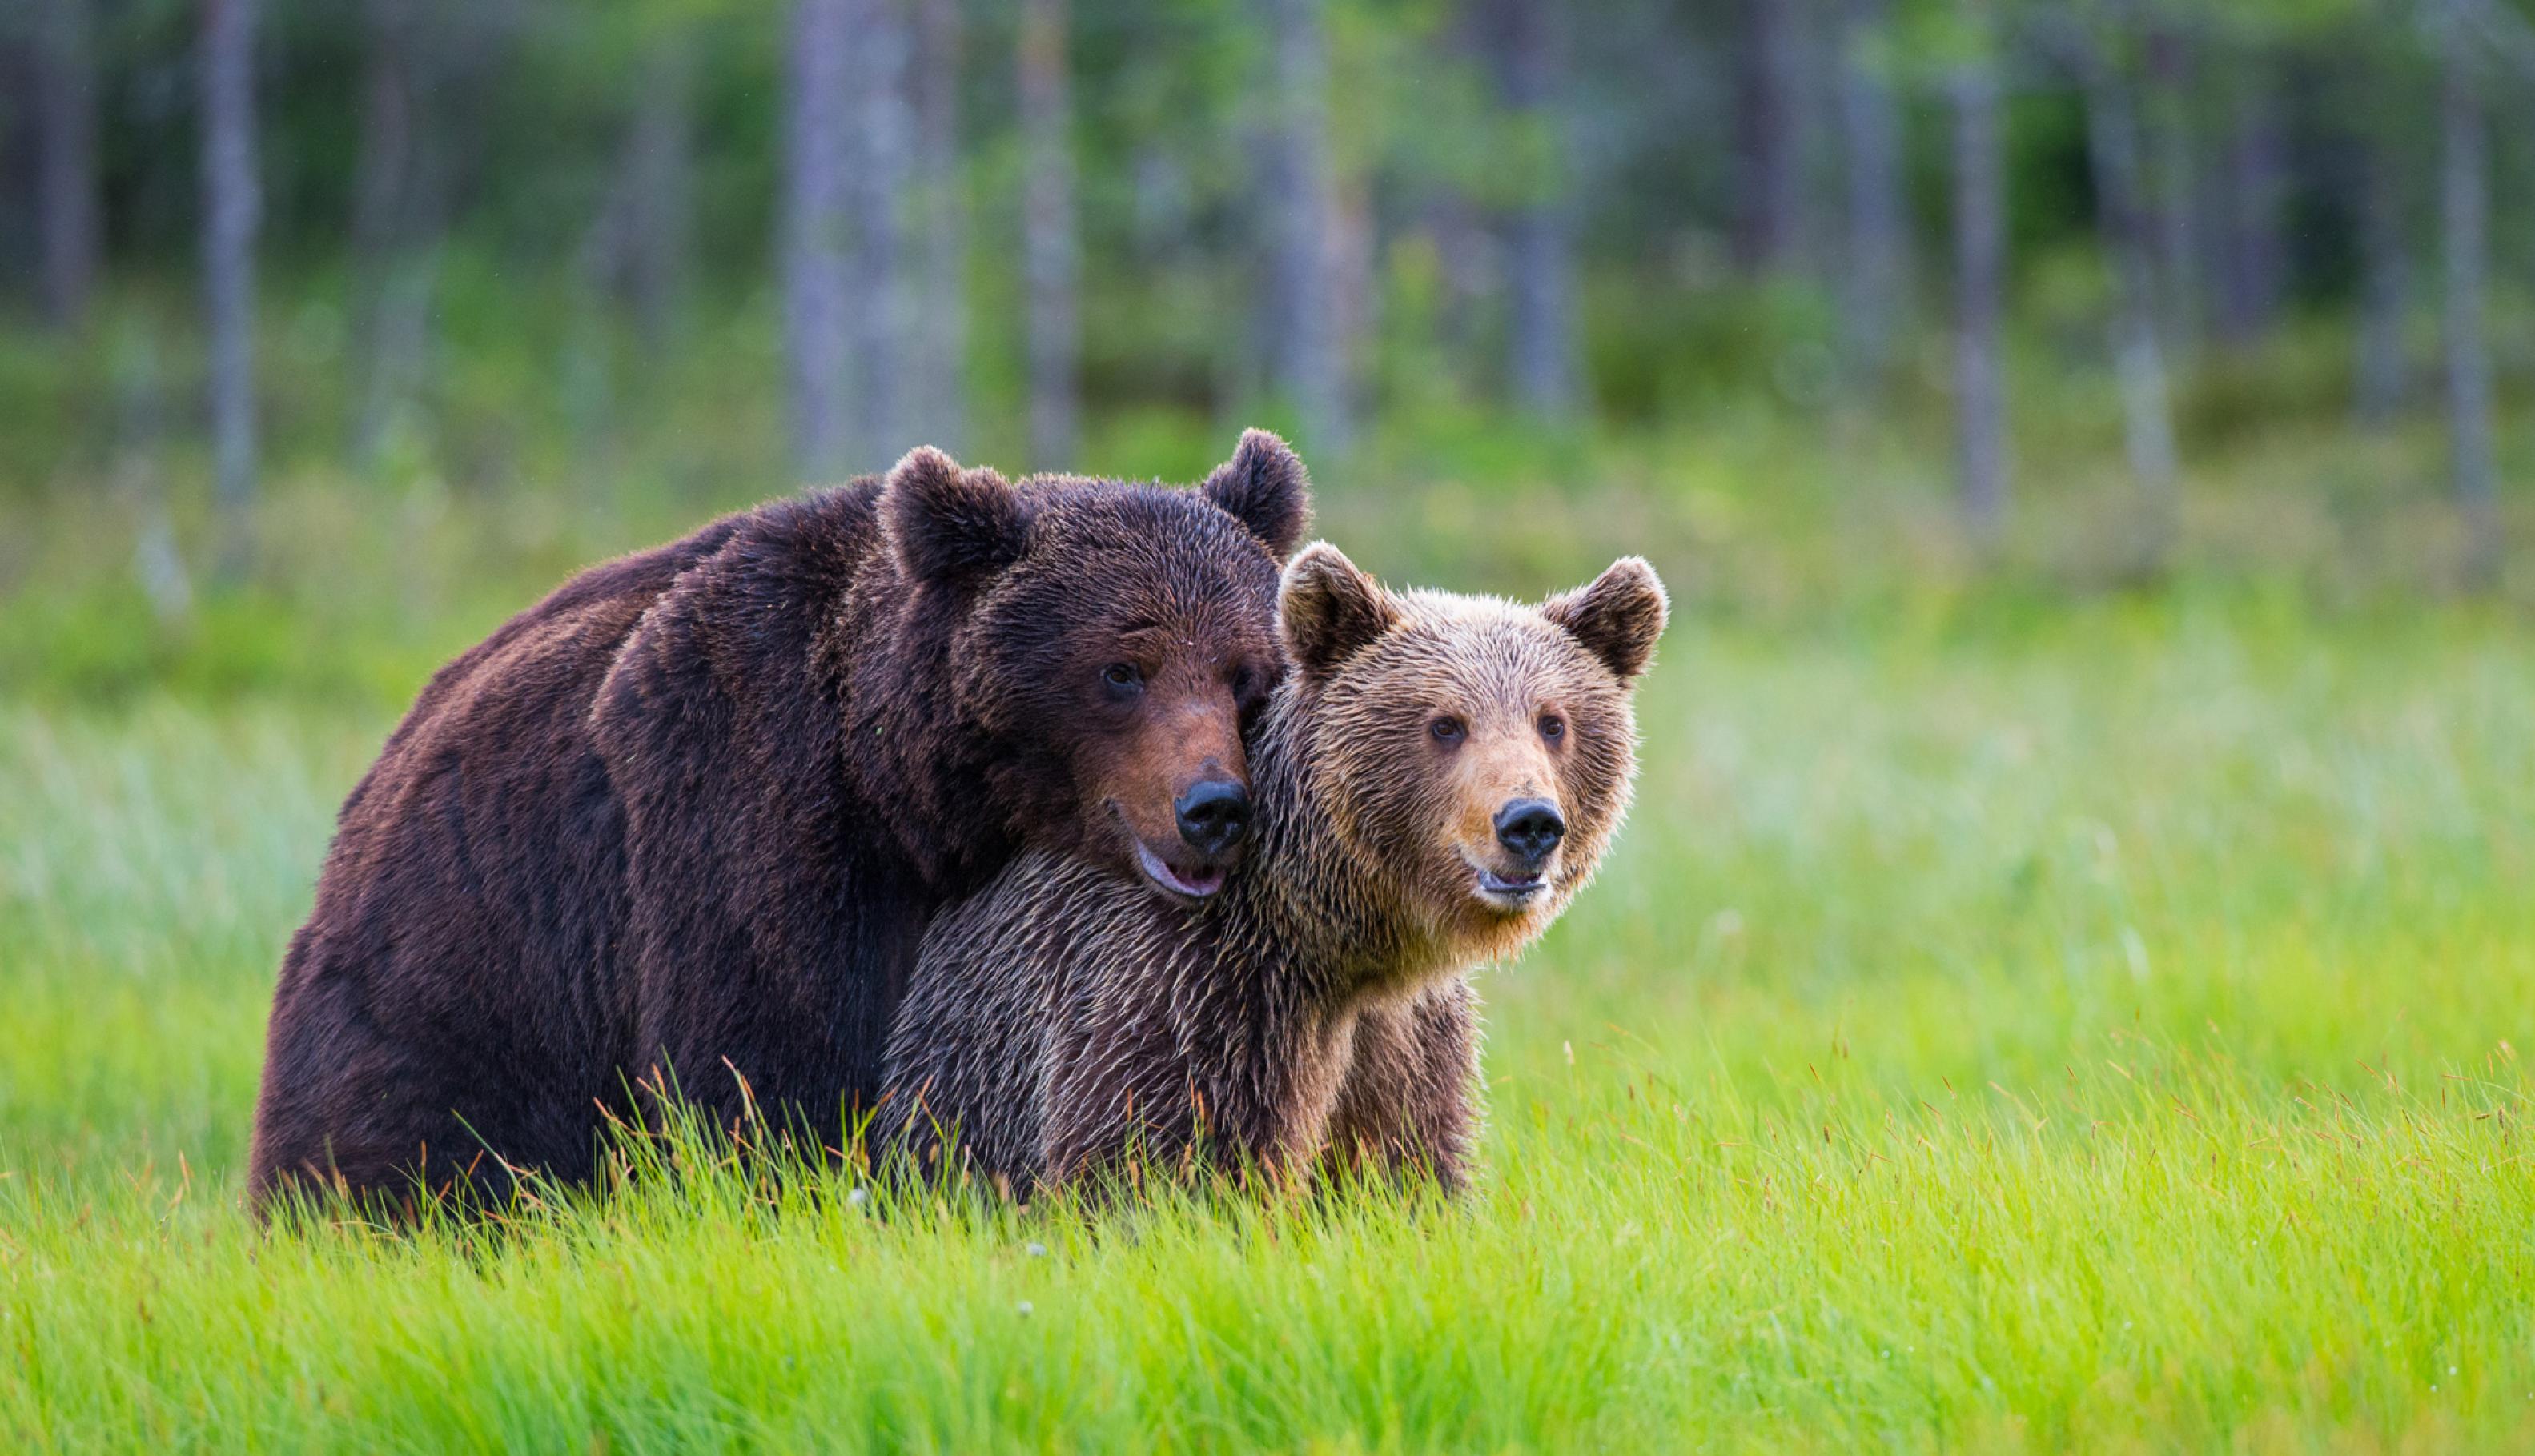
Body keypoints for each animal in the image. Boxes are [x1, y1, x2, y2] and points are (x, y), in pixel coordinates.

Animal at [249, 430, 1318, 1205]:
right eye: (1121, 668)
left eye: (1242, 672)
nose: (1213, 807)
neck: (898, 791)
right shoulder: (744, 807)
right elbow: (763, 1071)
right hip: (462, 985)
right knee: (404, 1157)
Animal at [882, 544, 1673, 1195]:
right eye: (1446, 723)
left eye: (1553, 720)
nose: (1529, 822)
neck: (1337, 940)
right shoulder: (1196, 989)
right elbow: (1158, 1159)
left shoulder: (1402, 1038)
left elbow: (1403, 1165)